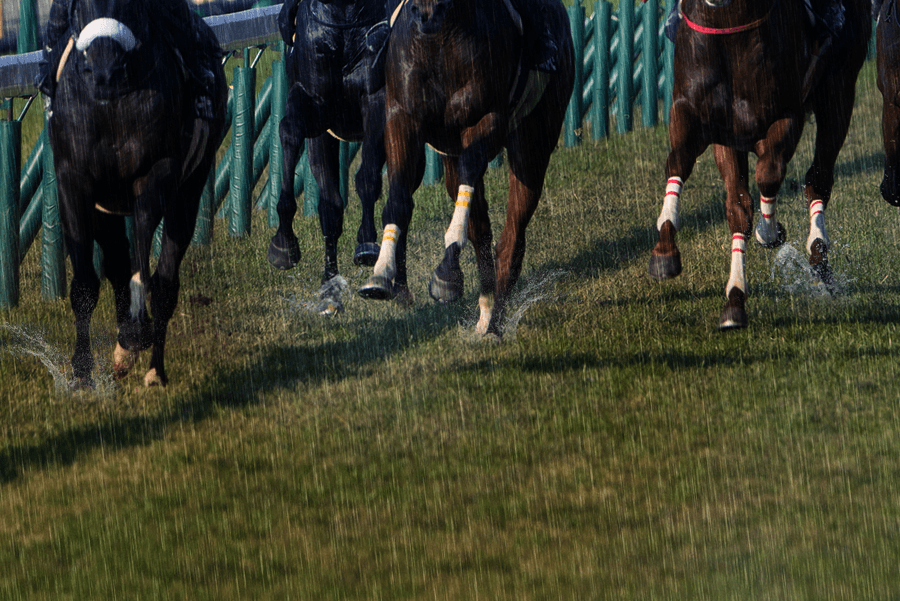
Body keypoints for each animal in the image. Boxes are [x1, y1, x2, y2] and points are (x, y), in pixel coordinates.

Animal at [47, 0, 227, 387]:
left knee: (166, 279)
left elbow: (145, 264)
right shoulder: (73, 179)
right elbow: (86, 283)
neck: (109, 107)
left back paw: (154, 369)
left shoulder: (157, 171)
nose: (105, 72)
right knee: (116, 261)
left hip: (191, 185)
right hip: (107, 208)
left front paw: (134, 336)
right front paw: (81, 371)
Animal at [267, 0, 388, 314]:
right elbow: (289, 131)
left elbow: (367, 179)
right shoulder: (315, 107)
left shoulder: (376, 100)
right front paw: (284, 245)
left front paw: (367, 244)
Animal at [357, 0, 575, 336]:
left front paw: (446, 274)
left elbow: (471, 169)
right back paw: (484, 305)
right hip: (449, 156)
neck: (440, 41)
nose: (426, 15)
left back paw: (493, 319)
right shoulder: (401, 117)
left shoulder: (488, 117)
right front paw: (381, 274)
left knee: (511, 237)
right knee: (481, 229)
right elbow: (398, 199)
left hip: (533, 145)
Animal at [648, 0, 870, 329]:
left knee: (818, 178)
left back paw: (818, 255)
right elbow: (689, 171)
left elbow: (768, 176)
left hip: (839, 92)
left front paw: (770, 233)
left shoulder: (786, 116)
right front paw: (666, 253)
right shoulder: (699, 117)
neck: (727, 25)